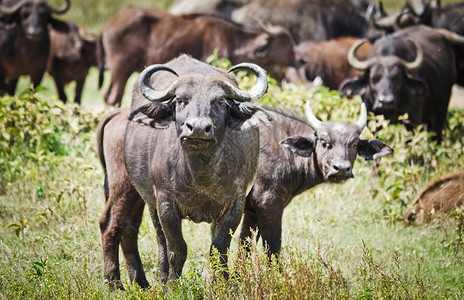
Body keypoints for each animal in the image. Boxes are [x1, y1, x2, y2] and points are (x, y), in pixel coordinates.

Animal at [99, 6, 300, 107]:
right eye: (286, 43)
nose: (300, 60)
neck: (232, 40)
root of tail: (109, 24)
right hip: (121, 68)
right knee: (113, 97)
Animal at [99, 54, 270, 288]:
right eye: (180, 100)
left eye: (221, 101)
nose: (197, 128)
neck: (201, 174)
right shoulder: (166, 202)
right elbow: (177, 249)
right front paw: (172, 287)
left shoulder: (235, 203)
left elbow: (219, 247)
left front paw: (221, 284)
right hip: (123, 185)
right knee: (113, 226)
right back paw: (116, 284)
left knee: (133, 229)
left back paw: (143, 281)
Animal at [237, 101, 394, 258]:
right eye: (324, 142)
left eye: (354, 144)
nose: (342, 168)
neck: (285, 151)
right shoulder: (269, 205)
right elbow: (273, 249)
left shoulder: (251, 211)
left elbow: (244, 248)